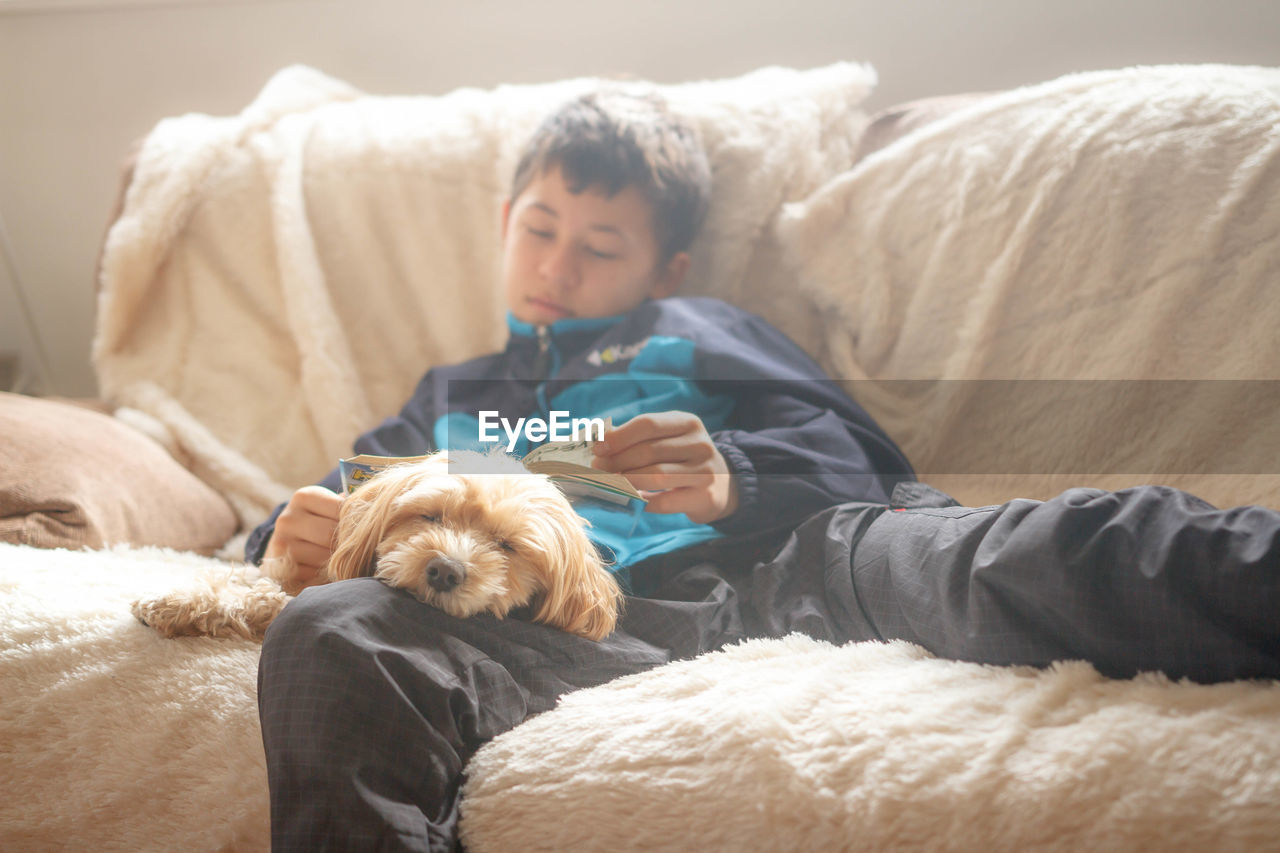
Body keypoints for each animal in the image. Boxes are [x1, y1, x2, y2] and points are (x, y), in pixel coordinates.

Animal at [132, 450, 622, 637]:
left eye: (506, 545)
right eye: (430, 515)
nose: (444, 571)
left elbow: (260, 599)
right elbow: (250, 587)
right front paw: (176, 601)